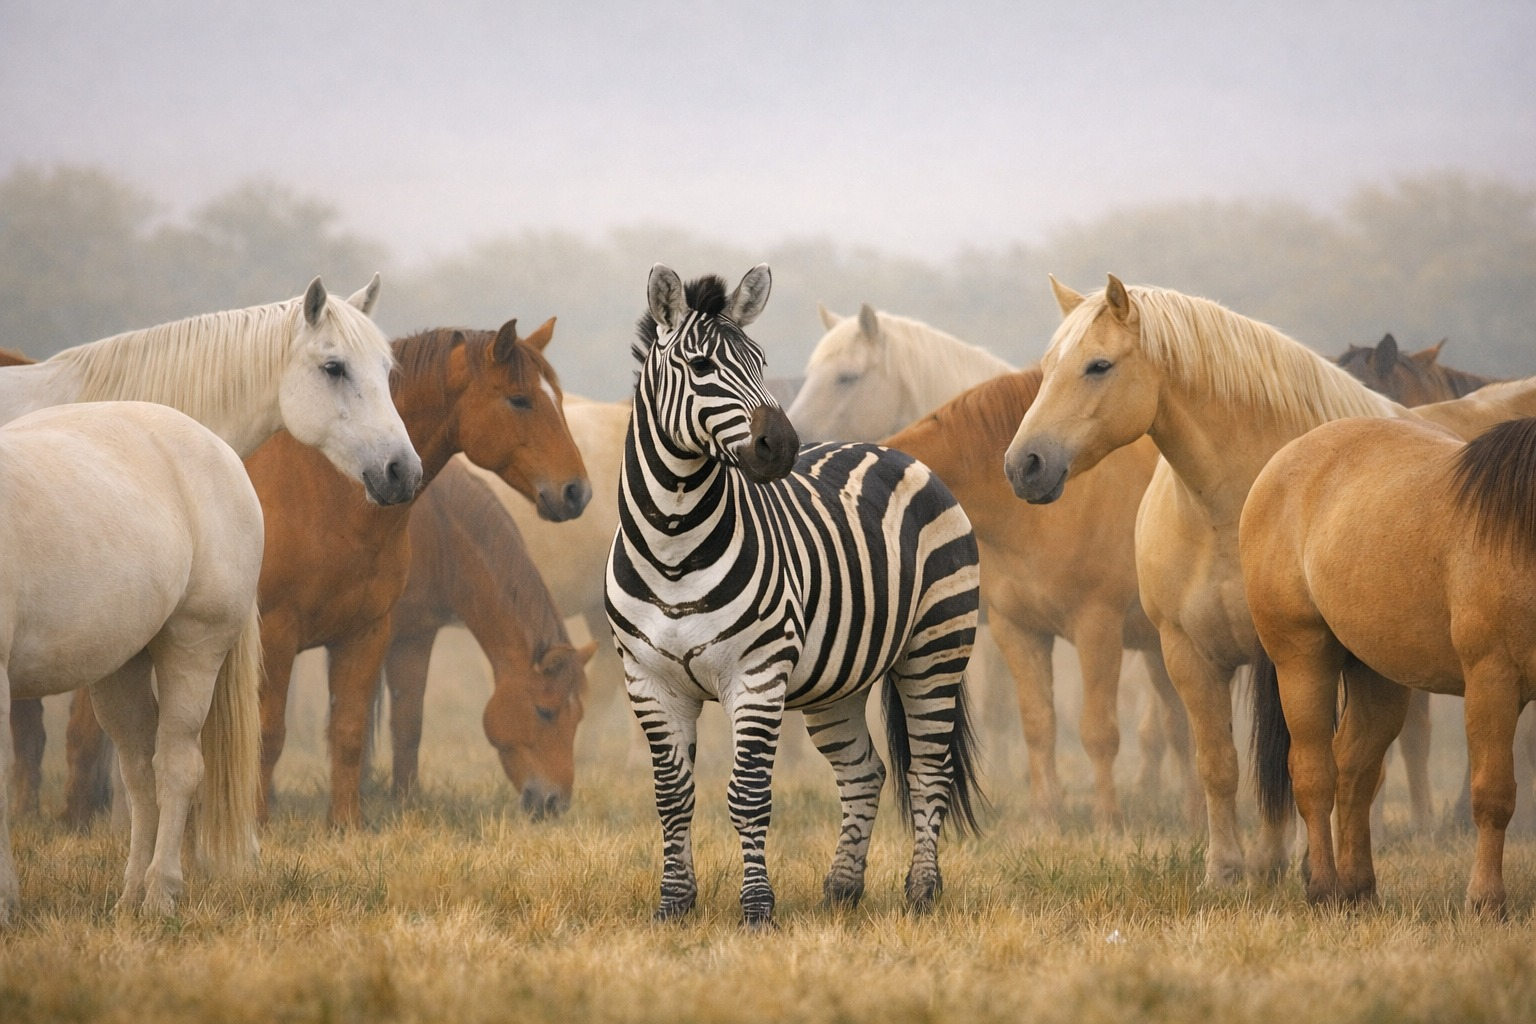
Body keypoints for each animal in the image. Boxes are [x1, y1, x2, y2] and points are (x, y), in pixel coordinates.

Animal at [0, 401, 263, 922]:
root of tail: (223, 453)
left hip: (193, 646)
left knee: (177, 767)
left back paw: (160, 895)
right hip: (120, 670)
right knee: (140, 774)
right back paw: (130, 896)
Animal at [382, 456, 595, 818]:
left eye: (578, 716)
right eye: (545, 712)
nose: (556, 804)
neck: (436, 534)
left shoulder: (415, 636)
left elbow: (407, 723)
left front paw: (405, 801)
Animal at [605, 263, 983, 927]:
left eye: (758, 360)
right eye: (700, 366)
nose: (781, 445)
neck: (673, 544)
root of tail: (886, 447)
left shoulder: (756, 674)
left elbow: (749, 795)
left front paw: (757, 908)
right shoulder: (648, 680)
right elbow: (672, 796)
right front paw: (674, 904)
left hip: (935, 648)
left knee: (928, 772)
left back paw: (921, 891)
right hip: (837, 680)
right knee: (864, 771)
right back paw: (842, 888)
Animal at [883, 368, 1198, 827]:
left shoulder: (1097, 628)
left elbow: (1098, 731)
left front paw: (1107, 819)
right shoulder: (1018, 630)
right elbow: (1038, 725)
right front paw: (1046, 814)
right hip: (1161, 648)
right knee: (1181, 724)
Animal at [1245, 416, 1536, 913]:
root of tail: (1279, 464)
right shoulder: (1493, 679)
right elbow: (1493, 794)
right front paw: (1485, 900)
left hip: (1377, 676)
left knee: (1354, 769)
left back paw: (1357, 888)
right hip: (1302, 659)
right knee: (1314, 772)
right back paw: (1323, 888)